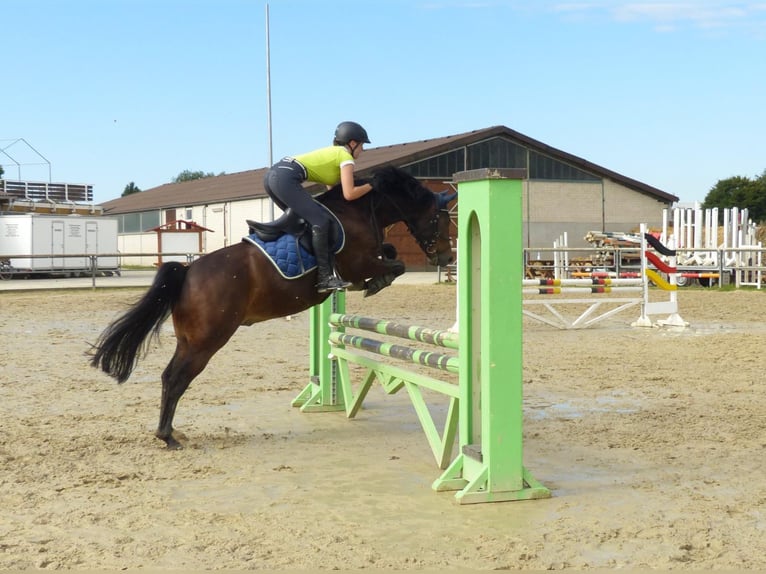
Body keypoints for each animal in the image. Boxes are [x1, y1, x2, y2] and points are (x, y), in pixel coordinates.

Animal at [90, 166, 456, 450]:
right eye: (441, 220)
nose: (446, 257)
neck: (359, 211)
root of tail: (188, 270)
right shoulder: (358, 263)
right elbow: (394, 265)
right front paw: (375, 283)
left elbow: (392, 253)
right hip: (207, 341)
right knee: (177, 379)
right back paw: (167, 436)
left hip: (188, 340)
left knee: (169, 376)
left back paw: (170, 432)